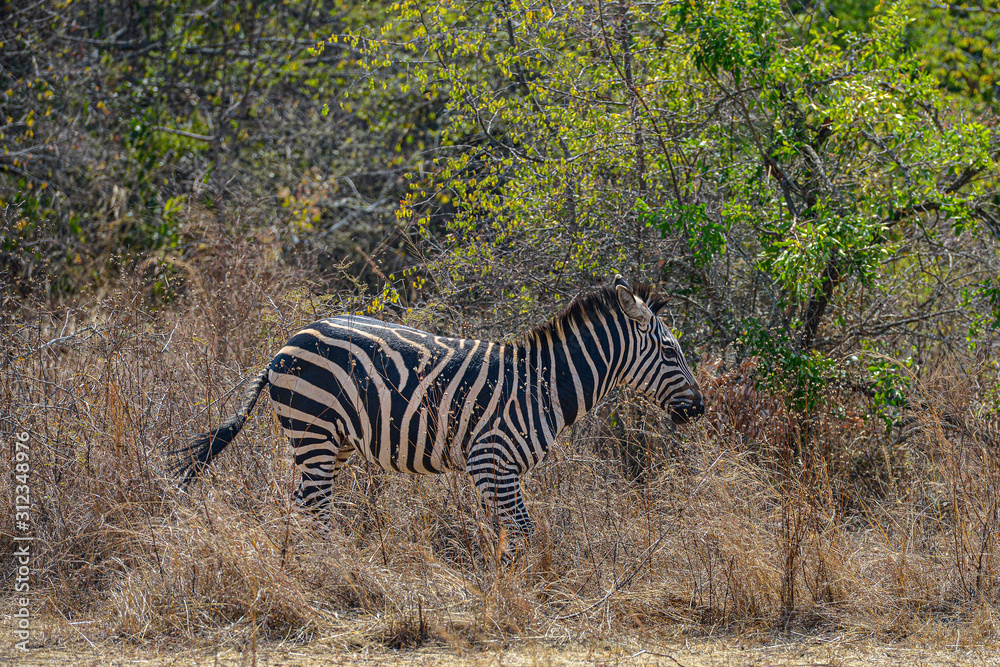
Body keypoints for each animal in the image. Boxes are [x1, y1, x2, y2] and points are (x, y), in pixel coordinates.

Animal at [175, 275, 704, 551]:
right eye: (671, 351)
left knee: (304, 503)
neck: (543, 386)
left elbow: (510, 534)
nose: (699, 408)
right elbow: (525, 533)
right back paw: (330, 570)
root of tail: (284, 346)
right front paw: (523, 594)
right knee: (316, 507)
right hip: (313, 431)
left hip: (334, 440)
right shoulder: (492, 461)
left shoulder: (498, 471)